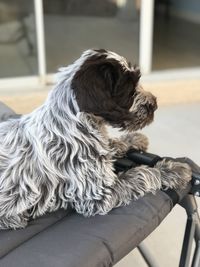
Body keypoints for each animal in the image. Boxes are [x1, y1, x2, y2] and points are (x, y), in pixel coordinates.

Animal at [0, 49, 192, 230]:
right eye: (129, 89)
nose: (154, 104)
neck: (75, 120)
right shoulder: (98, 196)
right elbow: (142, 174)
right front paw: (171, 169)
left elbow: (111, 144)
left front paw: (133, 139)